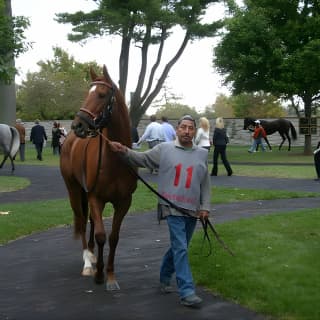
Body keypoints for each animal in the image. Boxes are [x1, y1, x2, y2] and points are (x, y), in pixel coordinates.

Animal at [60, 65, 138, 290]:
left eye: (102, 95)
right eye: (88, 93)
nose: (77, 125)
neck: (115, 161)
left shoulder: (124, 202)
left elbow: (113, 237)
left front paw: (110, 275)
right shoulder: (96, 197)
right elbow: (102, 235)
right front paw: (98, 274)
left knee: (91, 221)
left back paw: (93, 255)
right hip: (74, 190)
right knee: (81, 219)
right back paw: (88, 262)